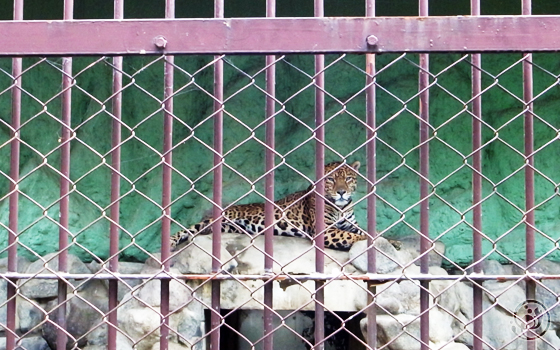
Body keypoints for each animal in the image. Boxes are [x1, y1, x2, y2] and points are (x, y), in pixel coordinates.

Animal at [171, 161, 368, 252]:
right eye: (331, 179)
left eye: (348, 178)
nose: (341, 192)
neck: (341, 207)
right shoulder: (325, 231)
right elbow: (352, 236)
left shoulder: (351, 224)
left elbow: (359, 231)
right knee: (188, 230)